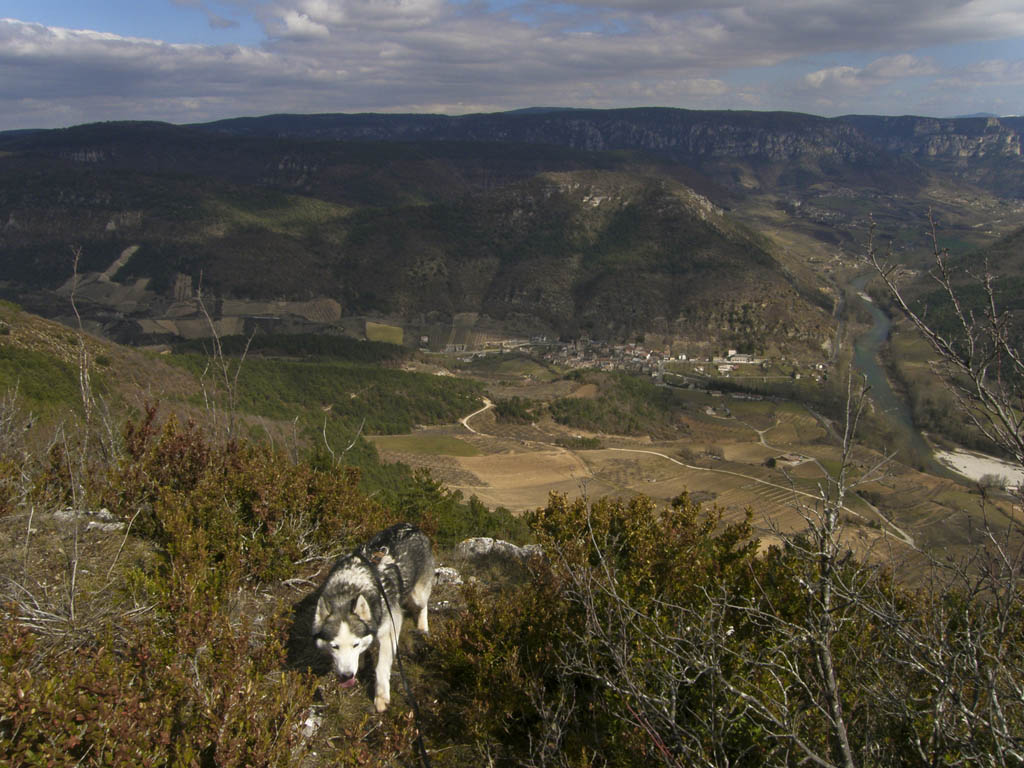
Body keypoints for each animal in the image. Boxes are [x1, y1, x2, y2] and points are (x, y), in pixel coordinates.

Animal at [311, 528, 432, 712]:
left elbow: (381, 667)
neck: (349, 590)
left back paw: (423, 626)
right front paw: (360, 662)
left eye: (354, 644)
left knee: (423, 605)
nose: (347, 675)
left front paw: (381, 697)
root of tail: (413, 527)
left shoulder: (390, 630)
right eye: (334, 646)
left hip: (419, 595)